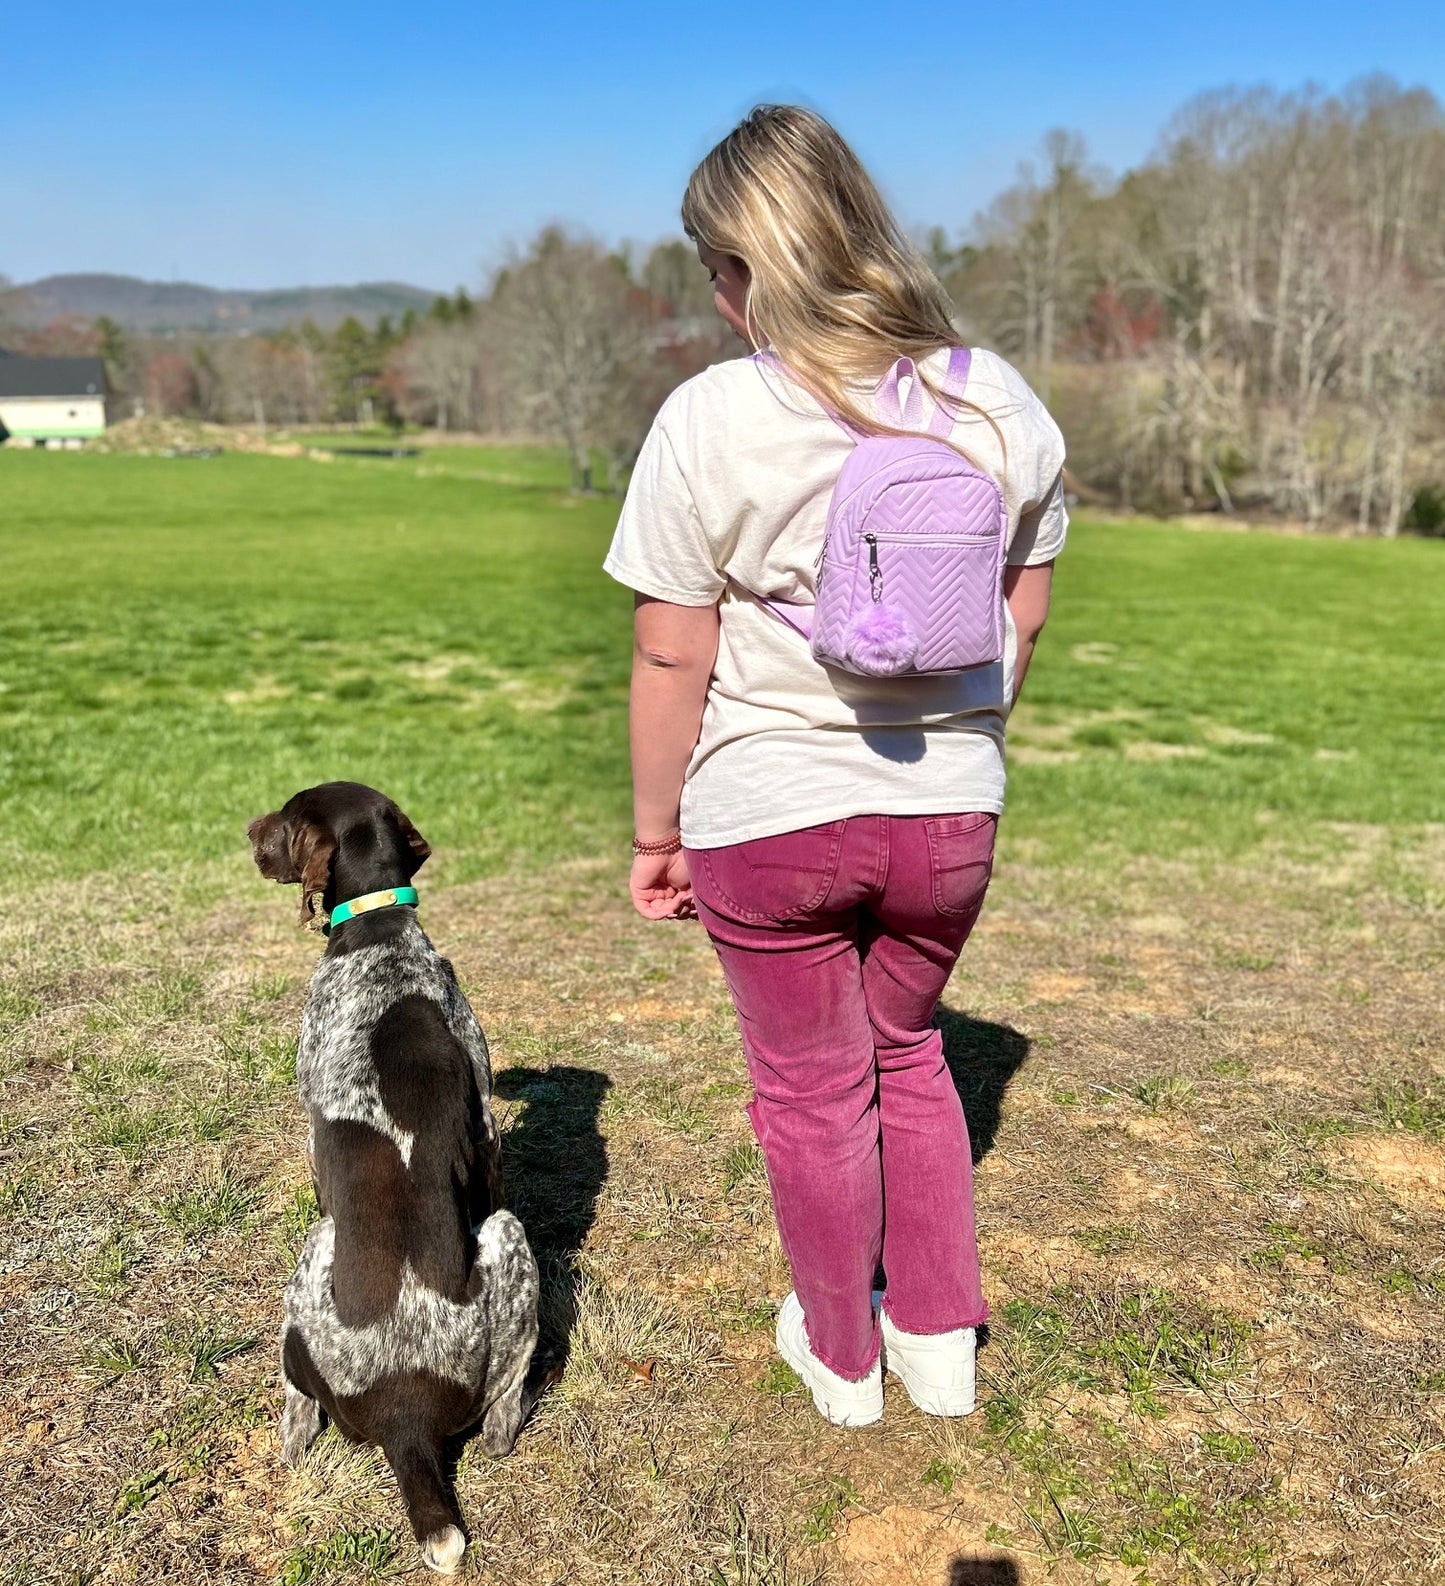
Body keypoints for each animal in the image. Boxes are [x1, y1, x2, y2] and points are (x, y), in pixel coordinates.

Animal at [249, 780, 542, 1573]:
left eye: (284, 817)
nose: (246, 830)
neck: (380, 928)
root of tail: (404, 1416)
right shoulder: (484, 1125)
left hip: (313, 1260)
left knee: (299, 1411)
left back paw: (286, 1438)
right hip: (507, 1249)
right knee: (503, 1417)